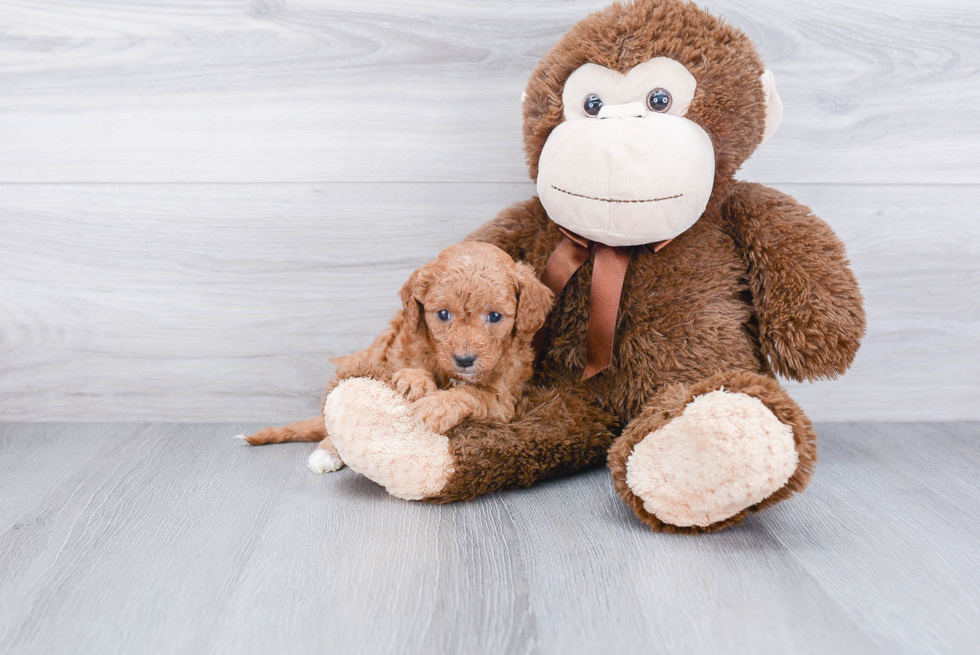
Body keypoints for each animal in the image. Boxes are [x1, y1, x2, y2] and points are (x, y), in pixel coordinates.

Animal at [239, 240, 552, 472]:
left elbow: (472, 394)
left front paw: (436, 406)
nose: (464, 360)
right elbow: (413, 366)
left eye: (495, 316)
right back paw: (327, 453)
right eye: (443, 314)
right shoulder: (398, 352)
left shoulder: (504, 402)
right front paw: (416, 380)